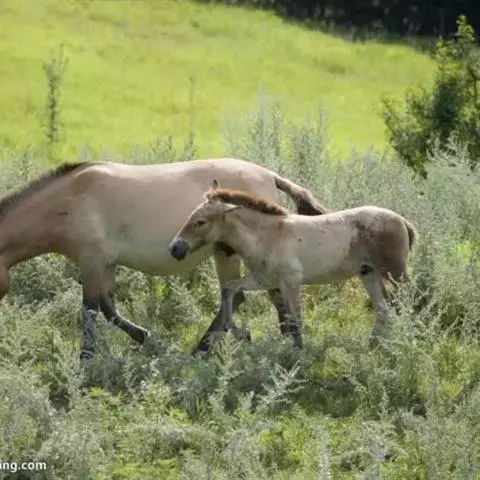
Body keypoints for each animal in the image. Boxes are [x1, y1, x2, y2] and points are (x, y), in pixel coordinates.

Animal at [0, 159, 328, 360]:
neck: (70, 200)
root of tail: (269, 176)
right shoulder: (104, 264)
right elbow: (108, 308)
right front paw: (144, 337)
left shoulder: (91, 260)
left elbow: (91, 310)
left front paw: (86, 360)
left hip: (231, 253)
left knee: (243, 298)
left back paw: (207, 350)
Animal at [169, 180, 418, 346]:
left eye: (200, 222)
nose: (175, 248)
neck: (268, 236)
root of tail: (402, 220)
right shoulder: (263, 280)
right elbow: (230, 290)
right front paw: (240, 332)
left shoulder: (290, 283)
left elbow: (295, 323)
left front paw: (296, 361)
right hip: (369, 273)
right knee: (383, 310)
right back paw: (373, 349)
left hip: (395, 273)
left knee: (408, 305)